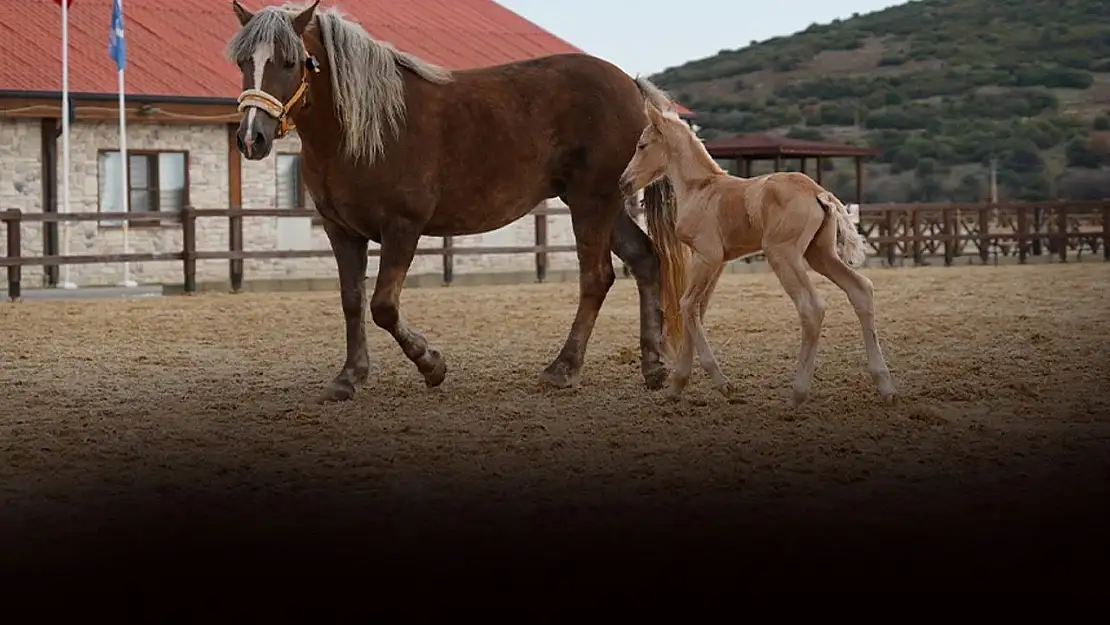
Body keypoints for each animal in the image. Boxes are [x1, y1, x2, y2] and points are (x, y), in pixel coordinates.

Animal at [223, 1, 683, 401]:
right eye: (243, 62)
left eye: (290, 61)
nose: (251, 138)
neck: (366, 129)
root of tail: (632, 86)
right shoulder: (341, 231)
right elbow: (352, 302)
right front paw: (349, 377)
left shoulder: (402, 227)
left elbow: (383, 306)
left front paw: (431, 365)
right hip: (602, 204)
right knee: (644, 259)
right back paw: (653, 366)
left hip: (592, 201)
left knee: (596, 277)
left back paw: (563, 369)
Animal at [621, 100, 896, 408]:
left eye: (642, 145)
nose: (624, 182)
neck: (700, 188)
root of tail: (818, 192)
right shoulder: (718, 262)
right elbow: (696, 309)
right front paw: (677, 386)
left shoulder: (707, 255)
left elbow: (688, 304)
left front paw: (722, 384)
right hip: (820, 254)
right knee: (861, 289)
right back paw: (885, 386)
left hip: (783, 254)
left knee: (811, 306)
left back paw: (797, 395)